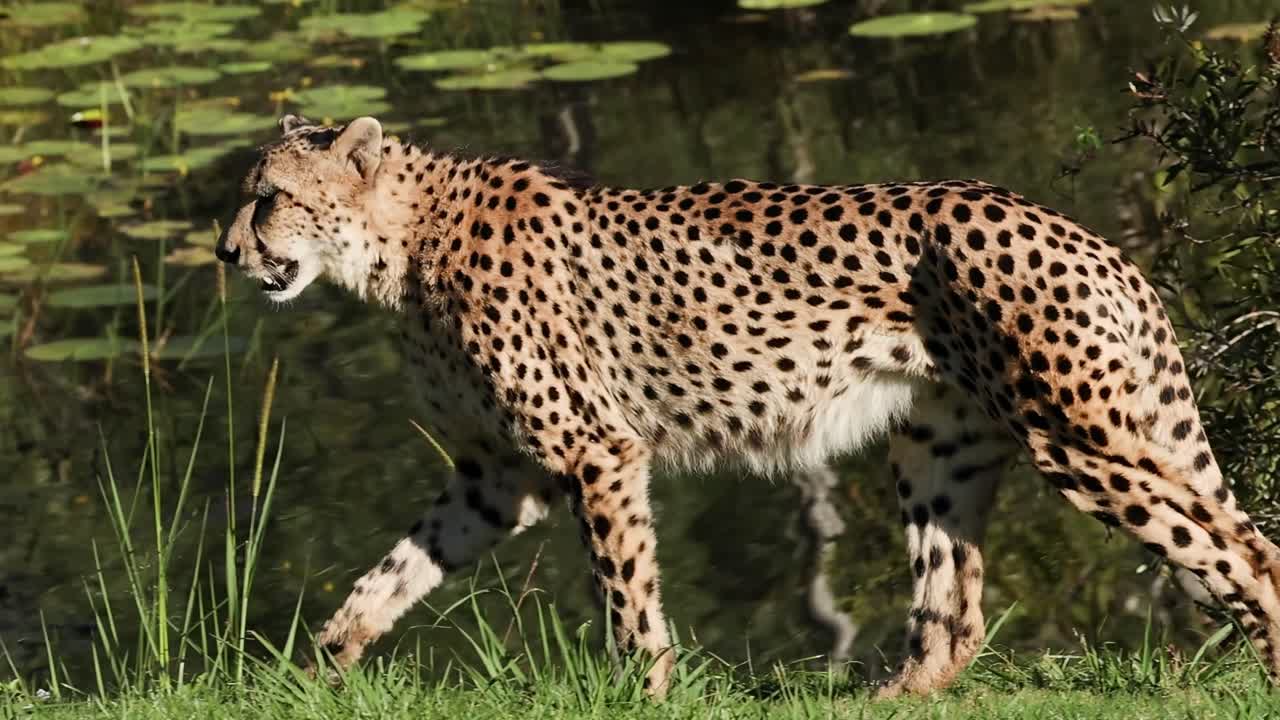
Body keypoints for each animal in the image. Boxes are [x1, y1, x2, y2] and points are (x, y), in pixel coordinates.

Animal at [215, 114, 1280, 698]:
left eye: (268, 198)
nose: (226, 252)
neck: (400, 243)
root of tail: (1084, 233)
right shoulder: (494, 475)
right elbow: (392, 573)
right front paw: (320, 669)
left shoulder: (594, 450)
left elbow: (626, 594)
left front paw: (640, 692)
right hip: (938, 448)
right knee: (955, 613)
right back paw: (889, 698)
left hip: (1078, 441)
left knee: (1243, 552)